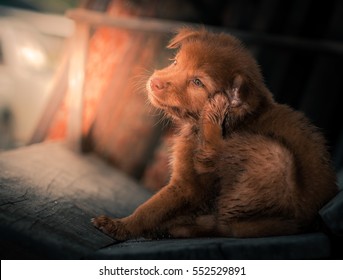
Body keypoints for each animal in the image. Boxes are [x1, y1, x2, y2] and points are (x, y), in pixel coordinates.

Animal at [92, 27, 338, 238]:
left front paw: (120, 226)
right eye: (176, 62)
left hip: (276, 158)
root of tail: (305, 223)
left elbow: (152, 208)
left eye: (198, 82)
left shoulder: (187, 186)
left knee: (226, 223)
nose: (155, 82)